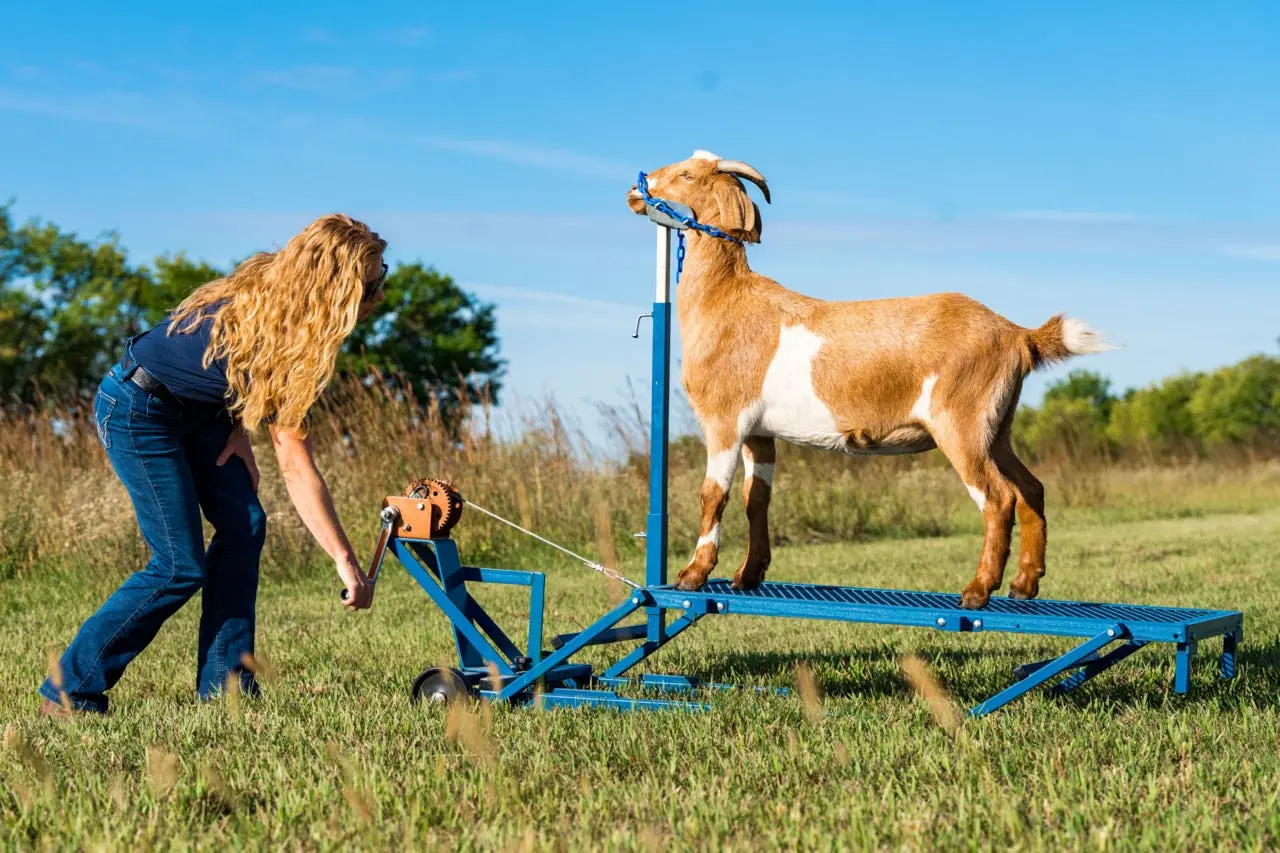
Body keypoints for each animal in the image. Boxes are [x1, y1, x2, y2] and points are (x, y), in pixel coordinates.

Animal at [626, 150, 1116, 609]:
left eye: (687, 175)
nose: (637, 187)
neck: (727, 301)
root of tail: (1017, 334)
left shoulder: (725, 419)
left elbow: (713, 495)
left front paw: (692, 575)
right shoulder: (761, 432)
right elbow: (756, 499)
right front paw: (748, 575)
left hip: (961, 422)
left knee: (998, 498)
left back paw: (978, 591)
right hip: (996, 427)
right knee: (1031, 487)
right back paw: (1024, 583)